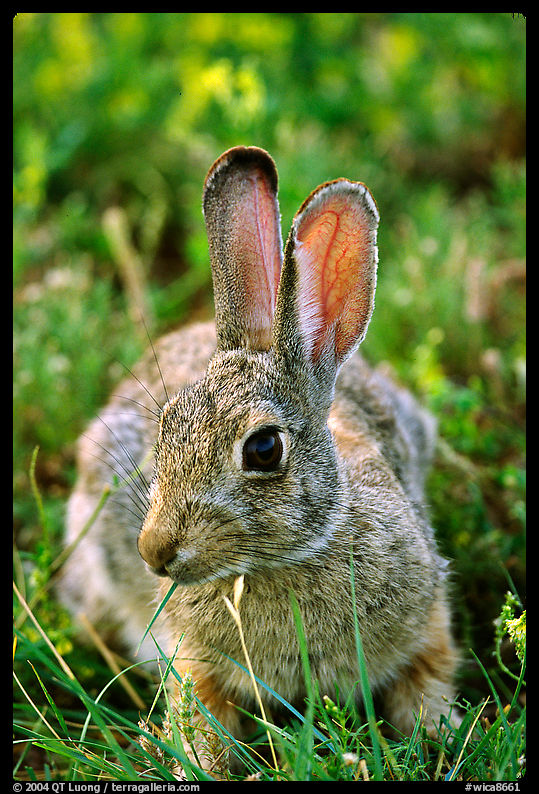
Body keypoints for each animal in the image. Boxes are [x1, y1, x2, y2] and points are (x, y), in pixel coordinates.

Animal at [59, 146, 458, 773]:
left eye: (263, 449)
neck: (286, 559)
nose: (154, 552)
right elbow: (199, 717)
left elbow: (427, 683)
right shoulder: (192, 661)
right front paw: (198, 765)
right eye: (166, 426)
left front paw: (441, 736)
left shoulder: (428, 623)